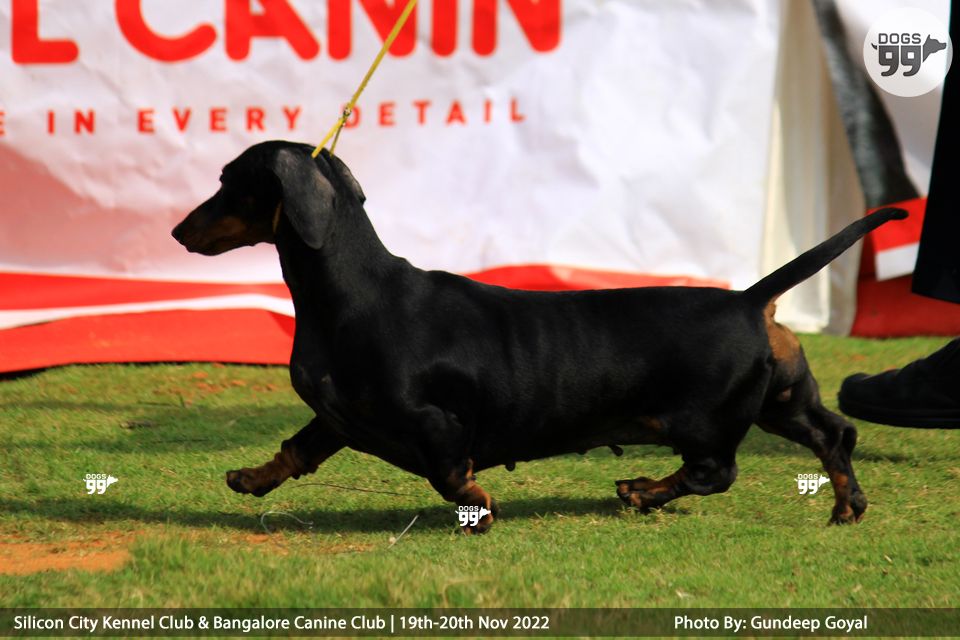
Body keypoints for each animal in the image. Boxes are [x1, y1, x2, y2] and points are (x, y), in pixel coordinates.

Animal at [172, 140, 906, 533]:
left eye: (228, 181)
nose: (177, 232)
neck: (353, 294)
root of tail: (749, 299)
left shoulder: (432, 421)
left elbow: (450, 475)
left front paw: (481, 505)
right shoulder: (338, 414)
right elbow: (298, 449)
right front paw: (251, 478)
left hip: (705, 421)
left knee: (715, 473)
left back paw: (642, 490)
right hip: (780, 402)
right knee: (835, 436)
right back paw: (848, 506)